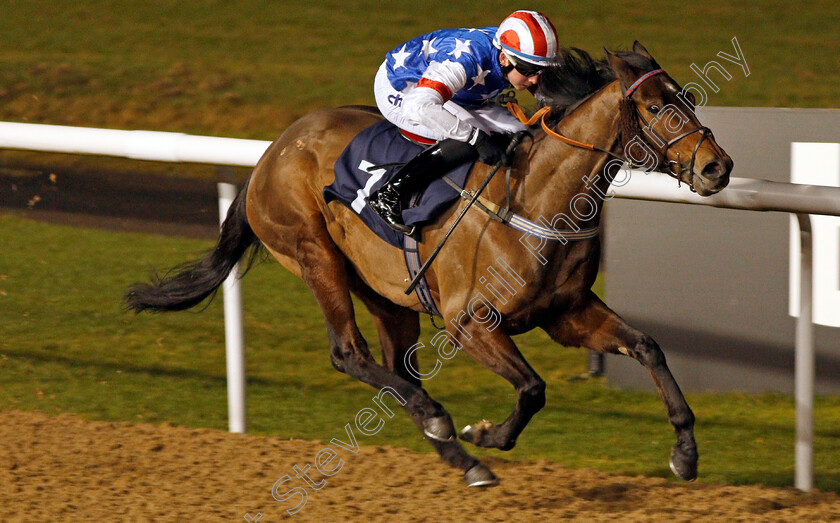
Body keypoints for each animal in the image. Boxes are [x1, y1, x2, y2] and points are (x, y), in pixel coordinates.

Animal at [126, 43, 736, 490]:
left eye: (687, 97)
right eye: (655, 107)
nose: (718, 166)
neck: (536, 199)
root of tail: (271, 152)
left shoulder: (567, 313)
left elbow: (648, 347)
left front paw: (685, 454)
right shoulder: (470, 322)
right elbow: (533, 388)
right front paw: (487, 433)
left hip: (387, 293)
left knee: (397, 368)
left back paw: (461, 457)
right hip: (314, 254)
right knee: (349, 353)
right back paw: (442, 421)